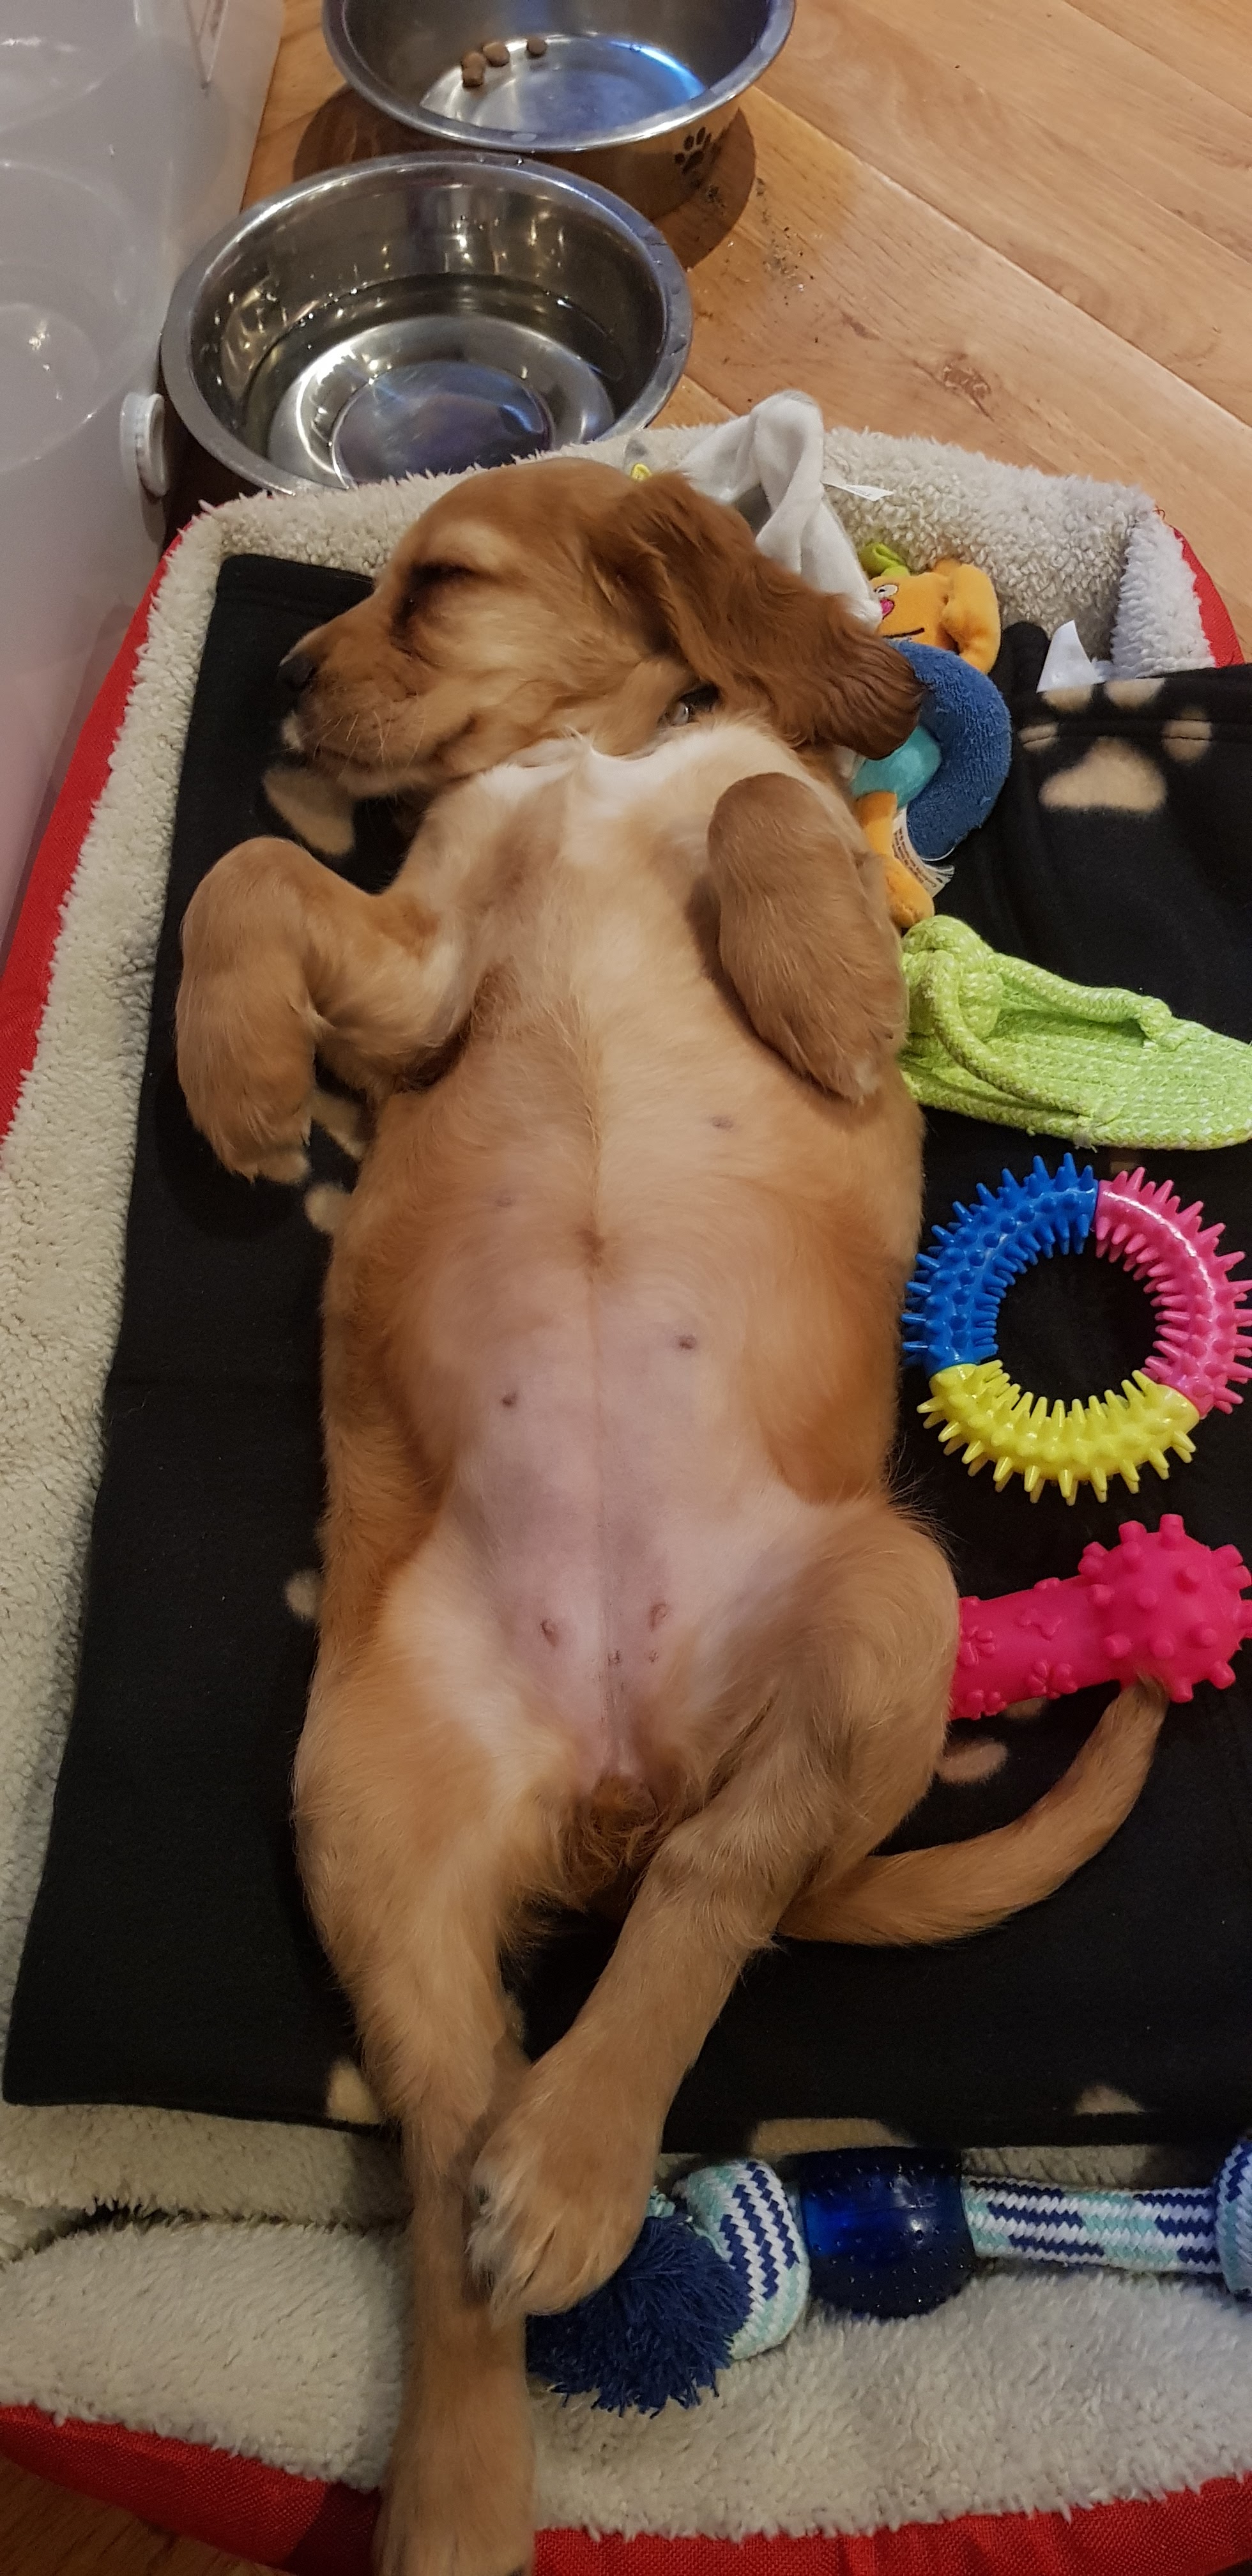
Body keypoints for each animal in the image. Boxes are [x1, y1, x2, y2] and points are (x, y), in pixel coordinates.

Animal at [176, 463, 1166, 2576]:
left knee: (714, 1898)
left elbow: (764, 808)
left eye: (439, 583)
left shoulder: (751, 854)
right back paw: (468, 2475)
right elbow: (253, 875)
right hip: (363, 1810)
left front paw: (806, 986)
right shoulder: (419, 969)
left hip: (884, 1612)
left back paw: (573, 2163)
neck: (592, 763)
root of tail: (617, 1788)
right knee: (453, 2175)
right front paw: (239, 1071)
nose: (282, 685)